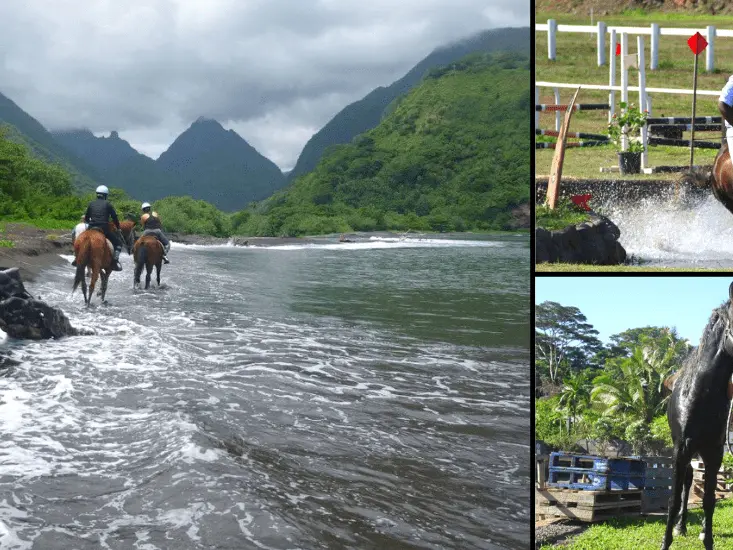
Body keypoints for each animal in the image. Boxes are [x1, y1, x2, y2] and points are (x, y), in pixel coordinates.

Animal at [660, 282, 732, 548]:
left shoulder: (714, 451)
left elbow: (709, 501)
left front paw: (707, 539)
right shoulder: (681, 449)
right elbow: (673, 499)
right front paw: (666, 541)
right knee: (688, 482)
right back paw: (681, 527)